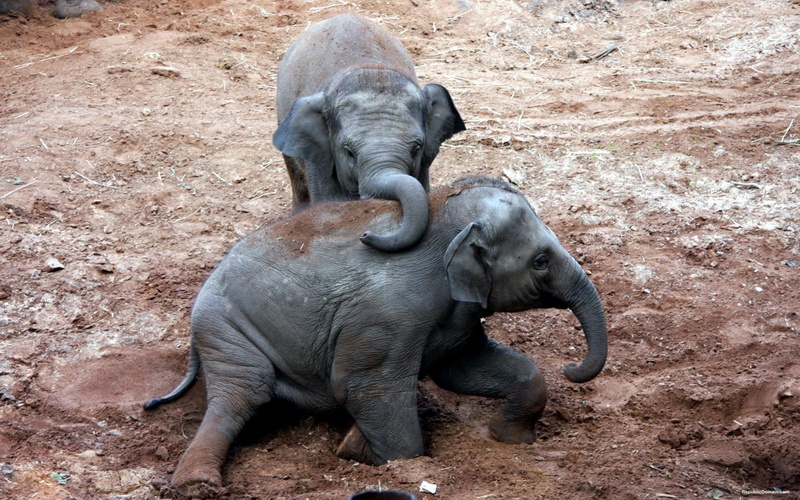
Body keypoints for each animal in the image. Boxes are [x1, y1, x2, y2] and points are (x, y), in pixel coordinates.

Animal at [144, 176, 608, 490]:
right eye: (541, 261)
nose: (571, 368)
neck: (441, 213)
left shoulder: (455, 313)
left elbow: (462, 368)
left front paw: (507, 438)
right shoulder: (390, 314)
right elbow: (366, 386)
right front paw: (361, 453)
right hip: (226, 329)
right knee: (242, 393)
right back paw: (197, 483)